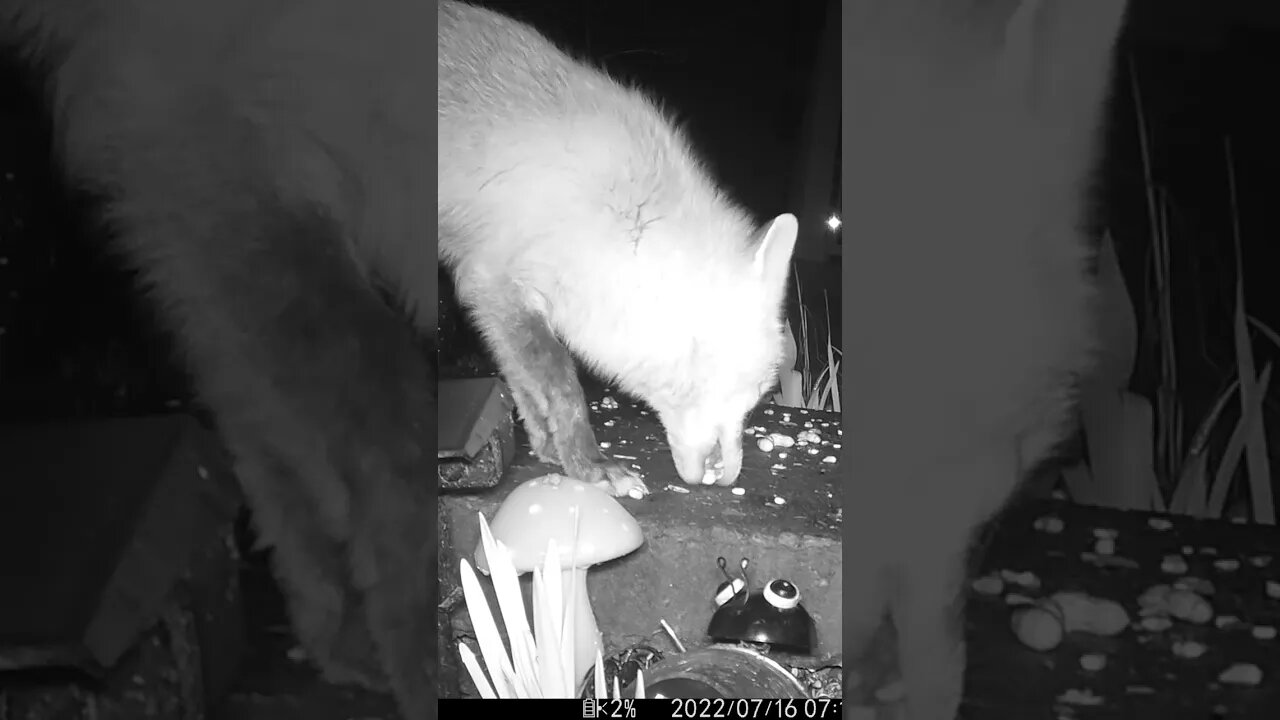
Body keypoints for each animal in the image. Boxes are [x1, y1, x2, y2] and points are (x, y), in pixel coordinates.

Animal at [438, 0, 799, 497]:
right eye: (723, 380)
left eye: (759, 395)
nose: (727, 475)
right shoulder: (491, 281)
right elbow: (562, 383)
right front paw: (590, 464)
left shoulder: (494, 303)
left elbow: (523, 386)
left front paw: (551, 448)